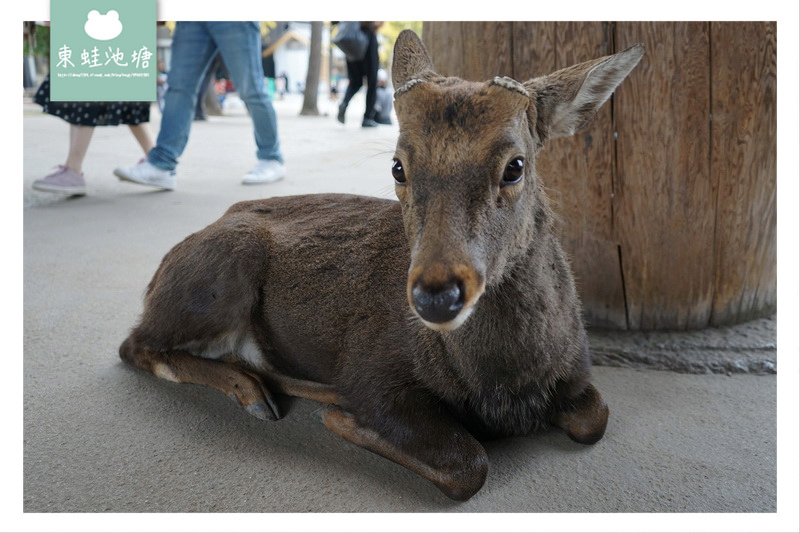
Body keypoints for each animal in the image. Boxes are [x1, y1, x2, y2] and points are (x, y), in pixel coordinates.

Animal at [119, 31, 644, 500]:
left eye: (515, 165)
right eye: (398, 166)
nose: (436, 294)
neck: (508, 384)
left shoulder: (579, 373)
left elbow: (595, 418)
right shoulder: (372, 370)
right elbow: (469, 464)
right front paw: (343, 417)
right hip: (219, 270)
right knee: (135, 346)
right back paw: (254, 391)